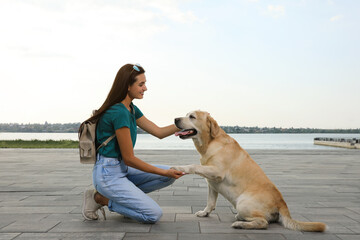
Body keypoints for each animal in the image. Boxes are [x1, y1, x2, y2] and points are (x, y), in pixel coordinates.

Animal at [172, 110, 326, 231]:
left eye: (192, 116)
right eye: (186, 114)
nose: (175, 119)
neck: (210, 143)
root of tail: (282, 204)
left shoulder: (217, 172)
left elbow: (194, 166)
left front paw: (179, 167)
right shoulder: (212, 183)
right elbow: (210, 202)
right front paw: (205, 213)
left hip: (242, 203)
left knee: (263, 222)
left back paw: (240, 224)